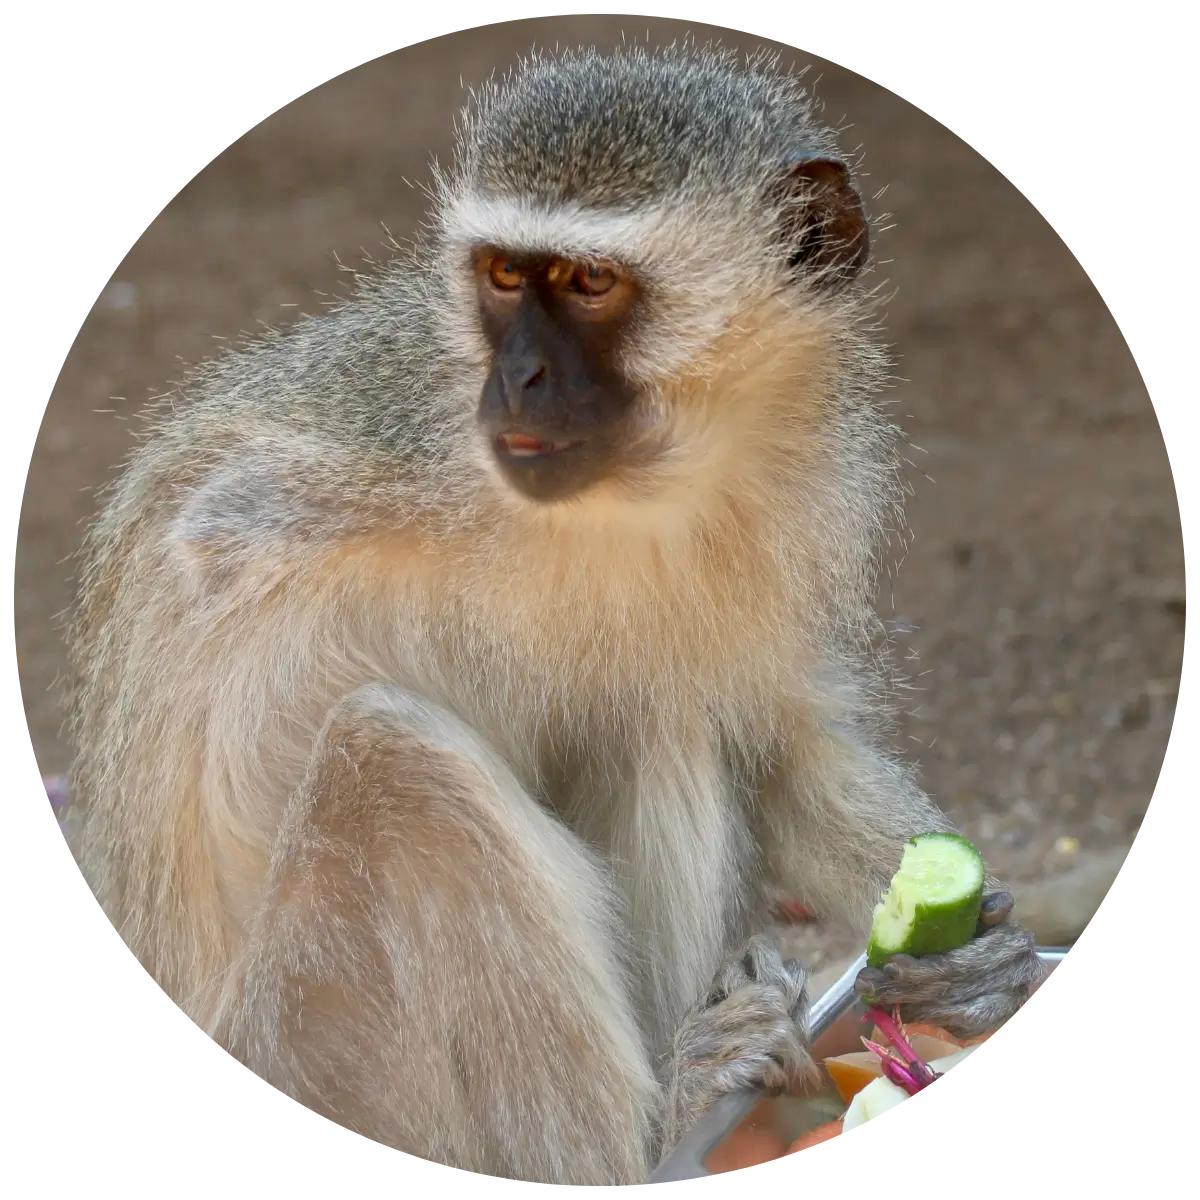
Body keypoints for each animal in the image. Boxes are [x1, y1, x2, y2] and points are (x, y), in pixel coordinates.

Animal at [62, 43, 1098, 1185]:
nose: (517, 379)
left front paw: (969, 956)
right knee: (396, 765)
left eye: (592, 282)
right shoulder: (375, 465)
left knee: (661, 714)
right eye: (503, 275)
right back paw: (654, 1132)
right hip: (311, 1039)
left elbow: (770, 737)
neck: (649, 487)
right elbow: (205, 536)